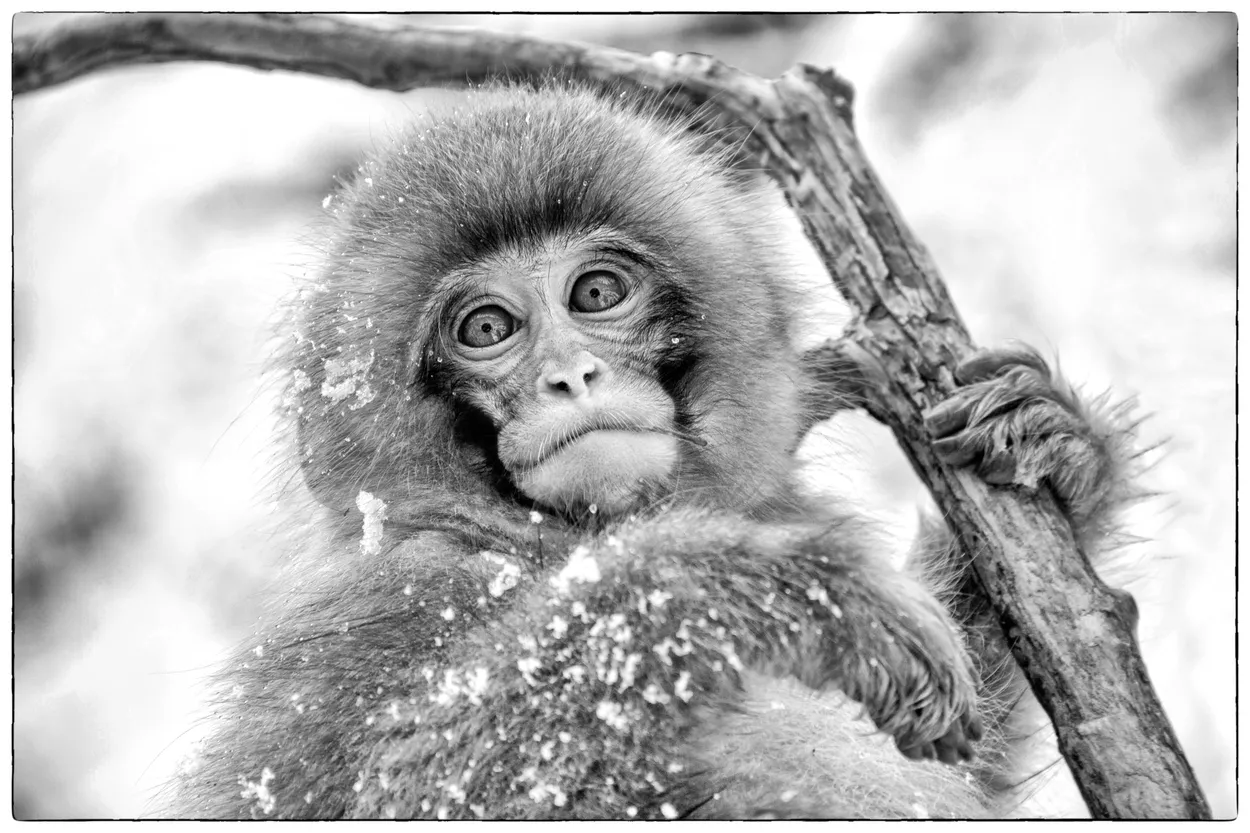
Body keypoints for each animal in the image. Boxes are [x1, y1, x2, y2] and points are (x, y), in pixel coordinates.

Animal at [166, 83, 1140, 819]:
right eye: (486, 328)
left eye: (597, 292)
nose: (570, 375)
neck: (543, 537)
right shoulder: (393, 596)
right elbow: (409, 788)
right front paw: (783, 590)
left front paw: (1057, 443)